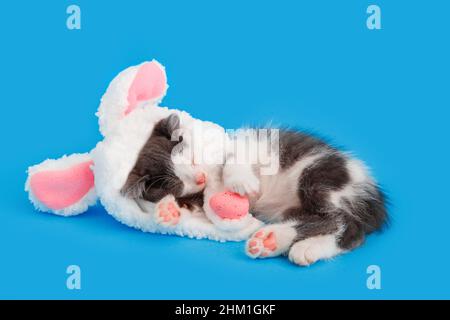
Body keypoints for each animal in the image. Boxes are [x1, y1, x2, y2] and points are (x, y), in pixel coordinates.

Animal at [121, 114, 388, 266]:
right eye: (178, 182)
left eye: (193, 159)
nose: (200, 176)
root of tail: (374, 195)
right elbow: (196, 207)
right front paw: (167, 211)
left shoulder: (246, 144)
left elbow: (232, 159)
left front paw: (242, 183)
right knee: (320, 219)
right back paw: (273, 241)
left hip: (318, 175)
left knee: (346, 223)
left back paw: (301, 245)